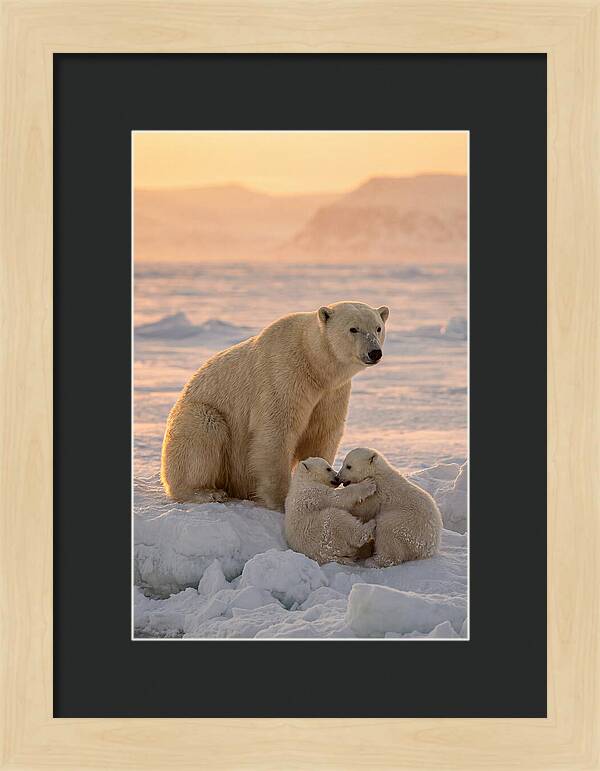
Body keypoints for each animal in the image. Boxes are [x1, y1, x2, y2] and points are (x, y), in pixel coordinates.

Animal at [160, 302, 389, 509]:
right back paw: (207, 492)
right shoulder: (284, 375)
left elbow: (322, 432)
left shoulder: (331, 393)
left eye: (378, 327)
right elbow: (276, 432)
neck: (313, 364)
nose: (374, 352)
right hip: (197, 415)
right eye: (353, 328)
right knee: (203, 431)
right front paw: (282, 500)